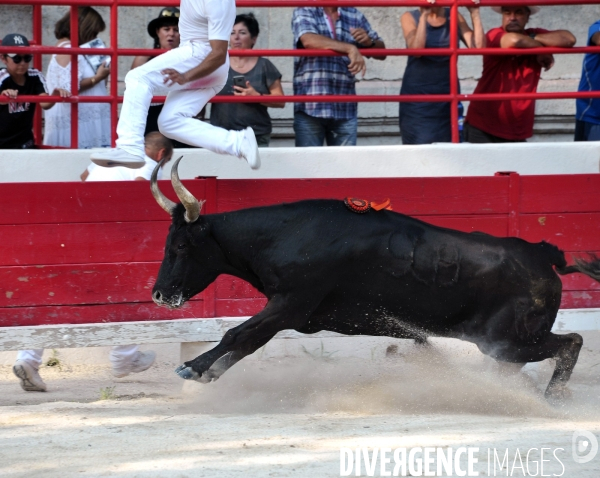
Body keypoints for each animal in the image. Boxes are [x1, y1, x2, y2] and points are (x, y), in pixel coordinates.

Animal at [149, 159, 600, 402]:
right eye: (167, 242)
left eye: (182, 246)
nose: (159, 295)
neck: (286, 234)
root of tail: (541, 254)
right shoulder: (296, 313)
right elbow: (246, 342)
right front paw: (207, 373)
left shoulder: (290, 304)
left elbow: (236, 334)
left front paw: (191, 367)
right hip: (505, 345)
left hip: (508, 339)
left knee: (571, 343)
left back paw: (553, 397)